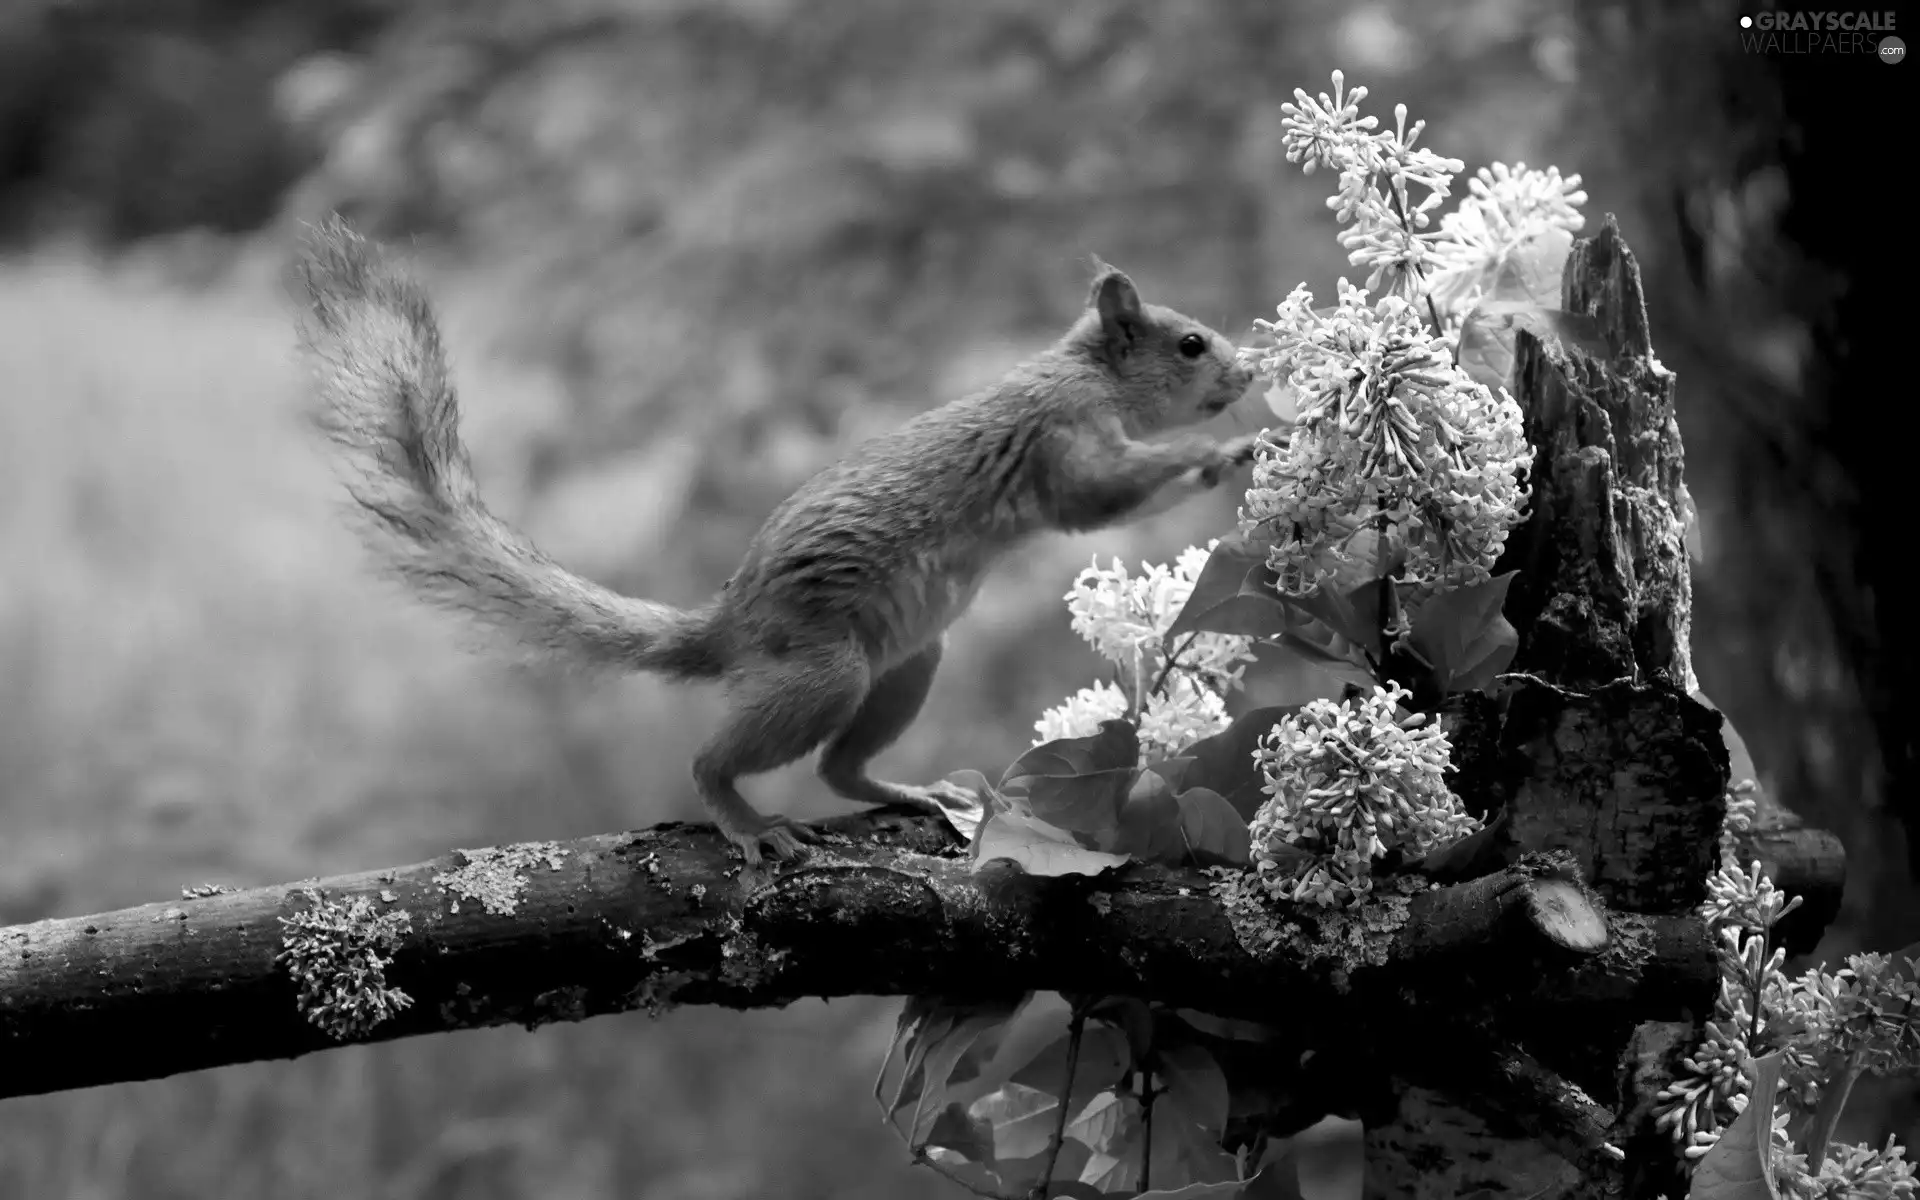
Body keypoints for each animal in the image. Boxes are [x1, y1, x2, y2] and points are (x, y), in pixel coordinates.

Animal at [291, 217, 1259, 860]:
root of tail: (729, 626)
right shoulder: (1063, 439)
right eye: (1190, 343)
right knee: (712, 761)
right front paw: (1220, 454)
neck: (1084, 373)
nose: (1250, 373)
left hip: (907, 667)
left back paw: (907, 791)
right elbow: (1097, 497)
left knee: (840, 769)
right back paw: (747, 822)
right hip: (825, 672)